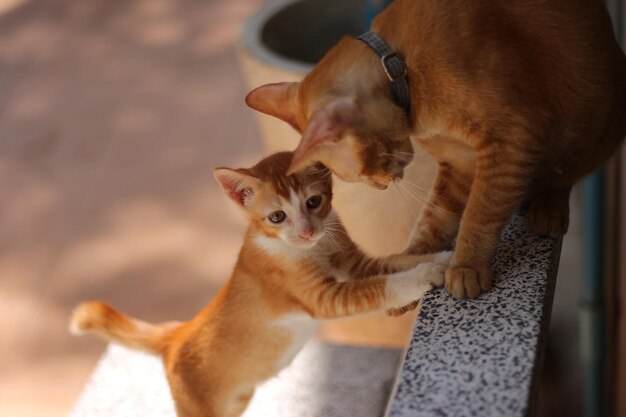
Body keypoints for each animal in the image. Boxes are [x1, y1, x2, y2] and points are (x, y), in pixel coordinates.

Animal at [69, 151, 448, 416]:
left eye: (314, 201)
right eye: (277, 216)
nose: (306, 231)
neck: (312, 249)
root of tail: (177, 333)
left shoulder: (354, 262)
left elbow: (393, 263)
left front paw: (441, 257)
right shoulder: (322, 297)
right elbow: (379, 286)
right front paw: (423, 276)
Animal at [245, 0, 624, 300]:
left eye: (365, 171)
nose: (381, 186)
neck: (401, 68)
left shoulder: (514, 136)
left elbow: (480, 211)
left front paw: (467, 265)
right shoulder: (461, 162)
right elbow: (434, 218)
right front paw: (412, 264)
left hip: (599, 125)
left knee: (564, 175)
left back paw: (548, 206)